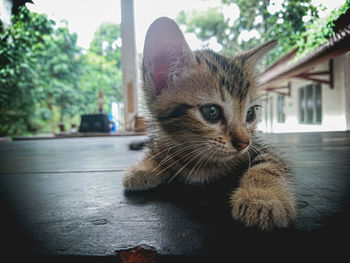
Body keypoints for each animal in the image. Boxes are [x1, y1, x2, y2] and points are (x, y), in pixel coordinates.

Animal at [121, 17, 296, 231]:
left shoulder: (260, 148)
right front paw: (144, 167)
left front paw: (262, 199)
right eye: (211, 111)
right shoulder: (162, 141)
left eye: (250, 114)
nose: (243, 143)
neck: (201, 161)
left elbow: (267, 167)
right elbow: (156, 151)